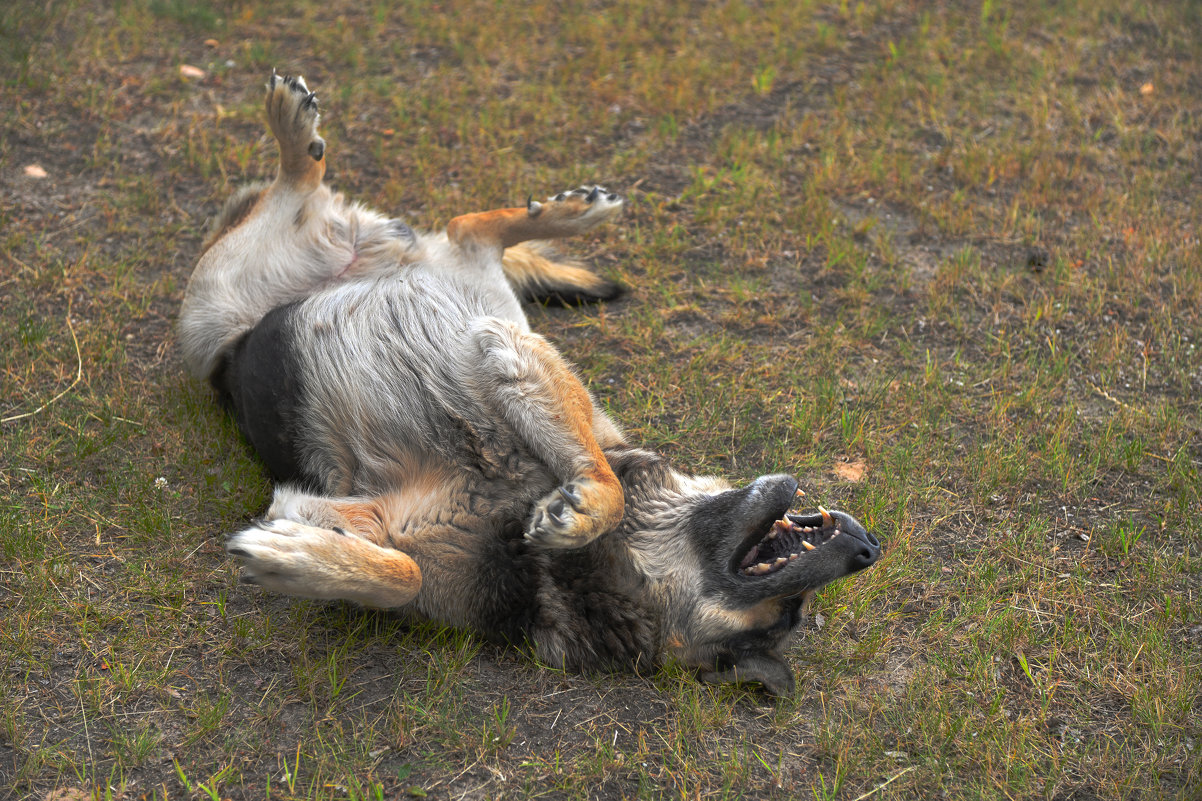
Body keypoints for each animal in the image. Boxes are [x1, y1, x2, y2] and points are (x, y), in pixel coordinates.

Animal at [182, 73, 884, 692]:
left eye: (790, 611)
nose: (868, 545)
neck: (551, 562)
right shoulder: (522, 357)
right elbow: (605, 485)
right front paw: (582, 510)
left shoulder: (338, 513)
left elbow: (402, 573)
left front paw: (294, 560)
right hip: (219, 308)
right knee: (455, 223)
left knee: (453, 227)